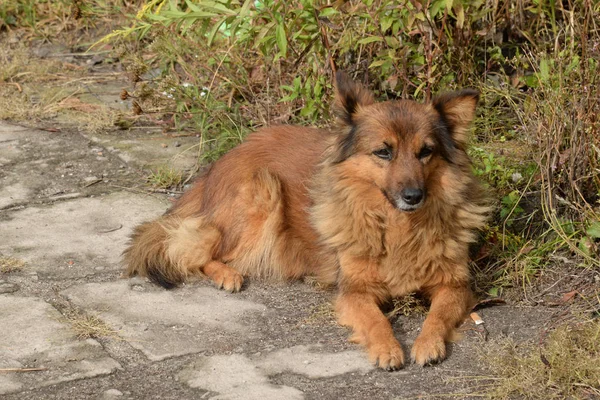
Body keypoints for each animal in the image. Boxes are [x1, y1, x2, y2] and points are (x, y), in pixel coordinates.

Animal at [124, 72, 490, 368]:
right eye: (383, 152)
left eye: (425, 152)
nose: (414, 196)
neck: (398, 227)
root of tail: (219, 163)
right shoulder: (353, 290)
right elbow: (375, 320)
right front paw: (387, 348)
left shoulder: (455, 285)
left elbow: (438, 316)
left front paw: (427, 344)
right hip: (263, 190)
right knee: (197, 248)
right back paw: (226, 274)